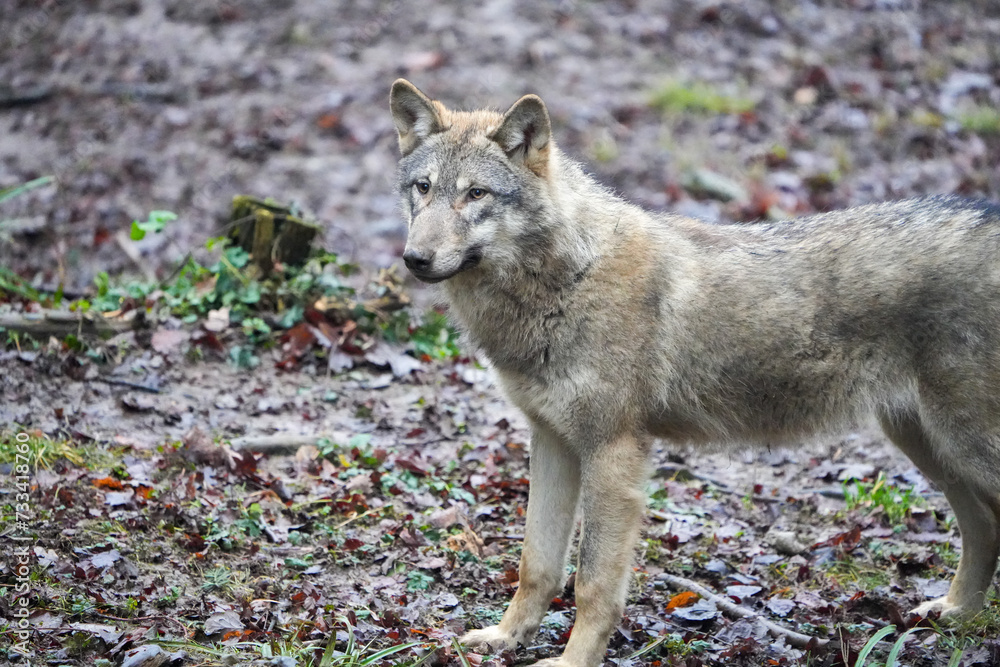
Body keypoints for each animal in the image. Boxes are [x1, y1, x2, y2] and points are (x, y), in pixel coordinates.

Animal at [389, 78, 1000, 667]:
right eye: (423, 188)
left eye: (476, 194)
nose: (414, 258)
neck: (567, 278)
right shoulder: (553, 441)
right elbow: (536, 564)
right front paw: (504, 638)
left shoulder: (613, 452)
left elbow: (592, 585)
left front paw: (570, 662)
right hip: (930, 447)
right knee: (983, 527)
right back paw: (956, 615)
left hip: (961, 446)